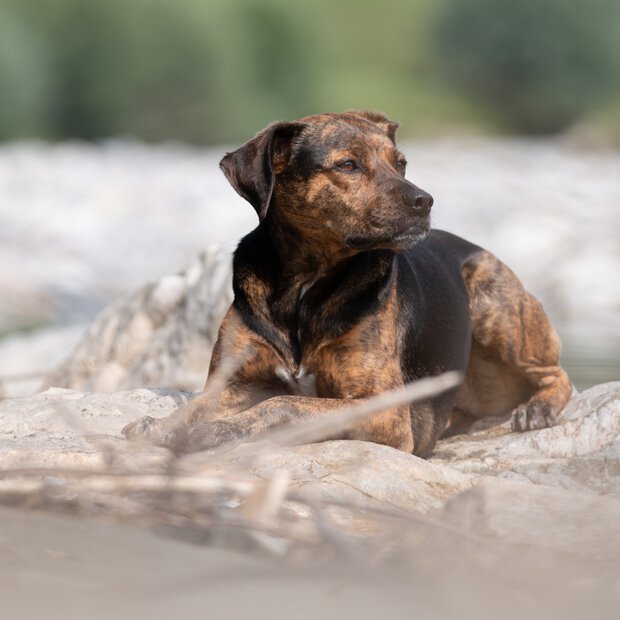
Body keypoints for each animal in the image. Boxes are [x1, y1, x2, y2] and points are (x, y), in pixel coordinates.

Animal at [123, 109, 572, 458]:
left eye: (401, 163)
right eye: (347, 166)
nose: (424, 201)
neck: (304, 285)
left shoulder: (384, 408)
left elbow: (284, 403)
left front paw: (221, 429)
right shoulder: (234, 380)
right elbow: (196, 405)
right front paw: (162, 425)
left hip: (496, 306)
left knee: (556, 372)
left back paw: (539, 408)